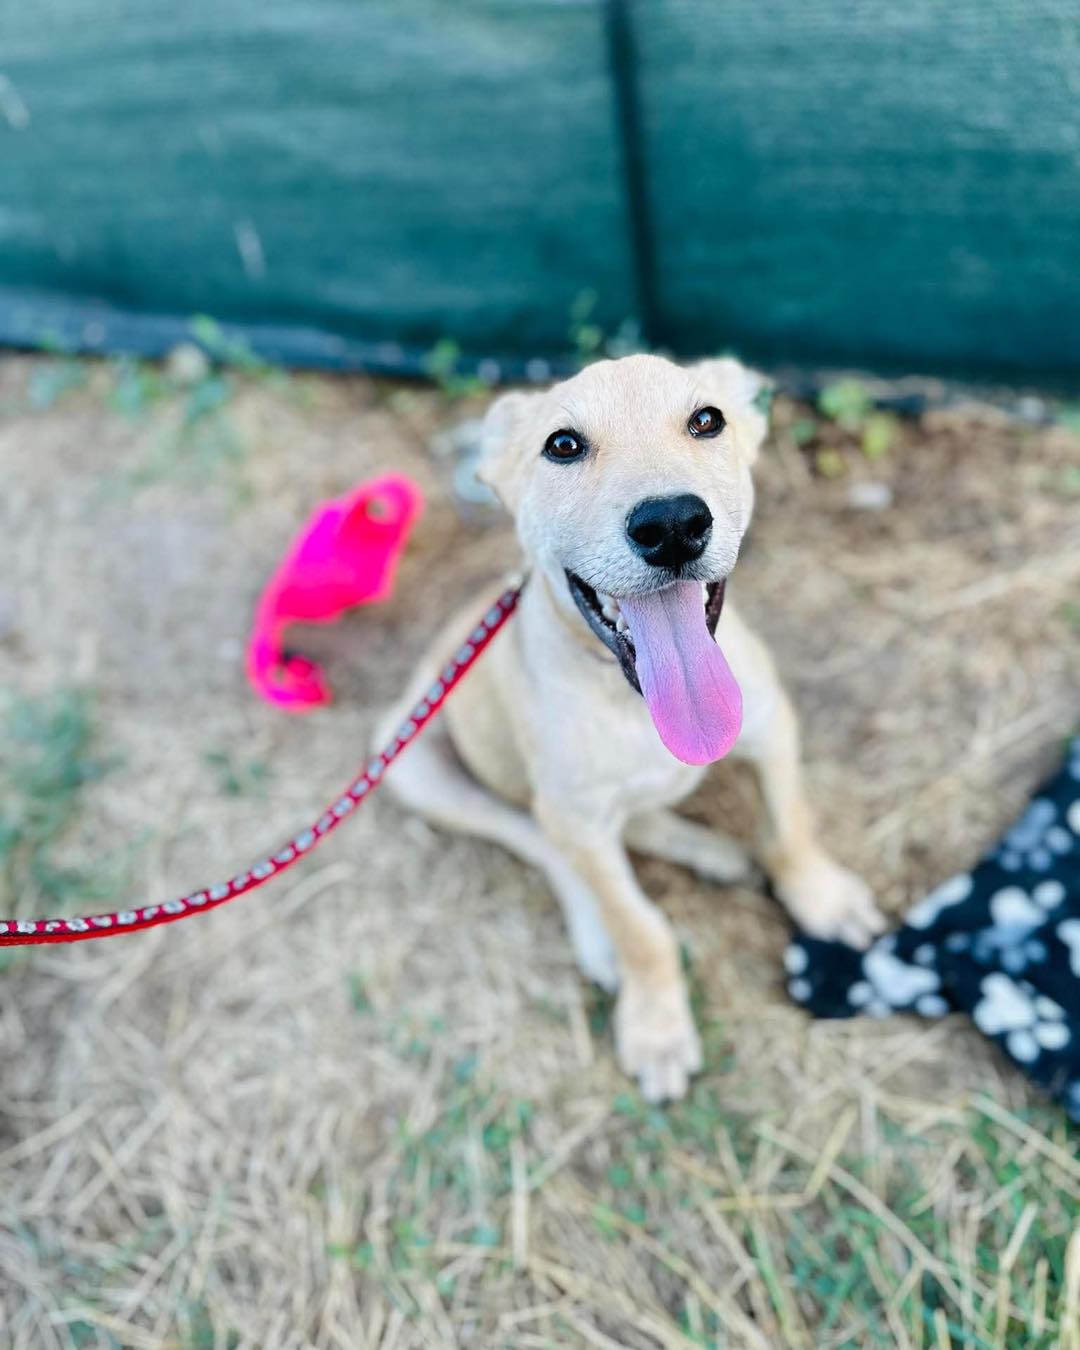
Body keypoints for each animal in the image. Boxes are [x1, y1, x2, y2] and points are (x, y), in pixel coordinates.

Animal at [378, 353, 885, 1101]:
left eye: (707, 420)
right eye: (562, 444)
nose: (673, 524)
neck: (633, 702)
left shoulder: (771, 728)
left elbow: (790, 825)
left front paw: (821, 900)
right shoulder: (579, 818)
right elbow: (638, 928)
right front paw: (657, 1028)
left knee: (642, 820)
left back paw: (714, 853)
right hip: (409, 758)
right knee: (546, 845)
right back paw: (604, 935)